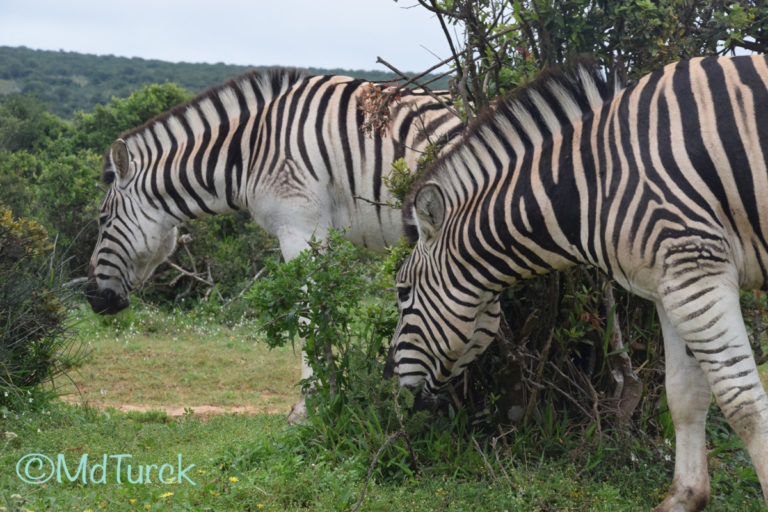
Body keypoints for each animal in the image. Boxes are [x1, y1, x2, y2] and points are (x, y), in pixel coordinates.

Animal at [84, 67, 462, 420]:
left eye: (103, 219)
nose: (91, 297)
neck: (251, 152)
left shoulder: (300, 228)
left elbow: (309, 315)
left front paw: (309, 405)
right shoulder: (321, 234)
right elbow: (324, 310)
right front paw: (329, 394)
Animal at [388, 54, 768, 510]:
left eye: (402, 292)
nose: (391, 380)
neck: (595, 184)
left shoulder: (696, 267)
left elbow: (744, 406)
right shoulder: (670, 283)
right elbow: (685, 395)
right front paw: (685, 497)